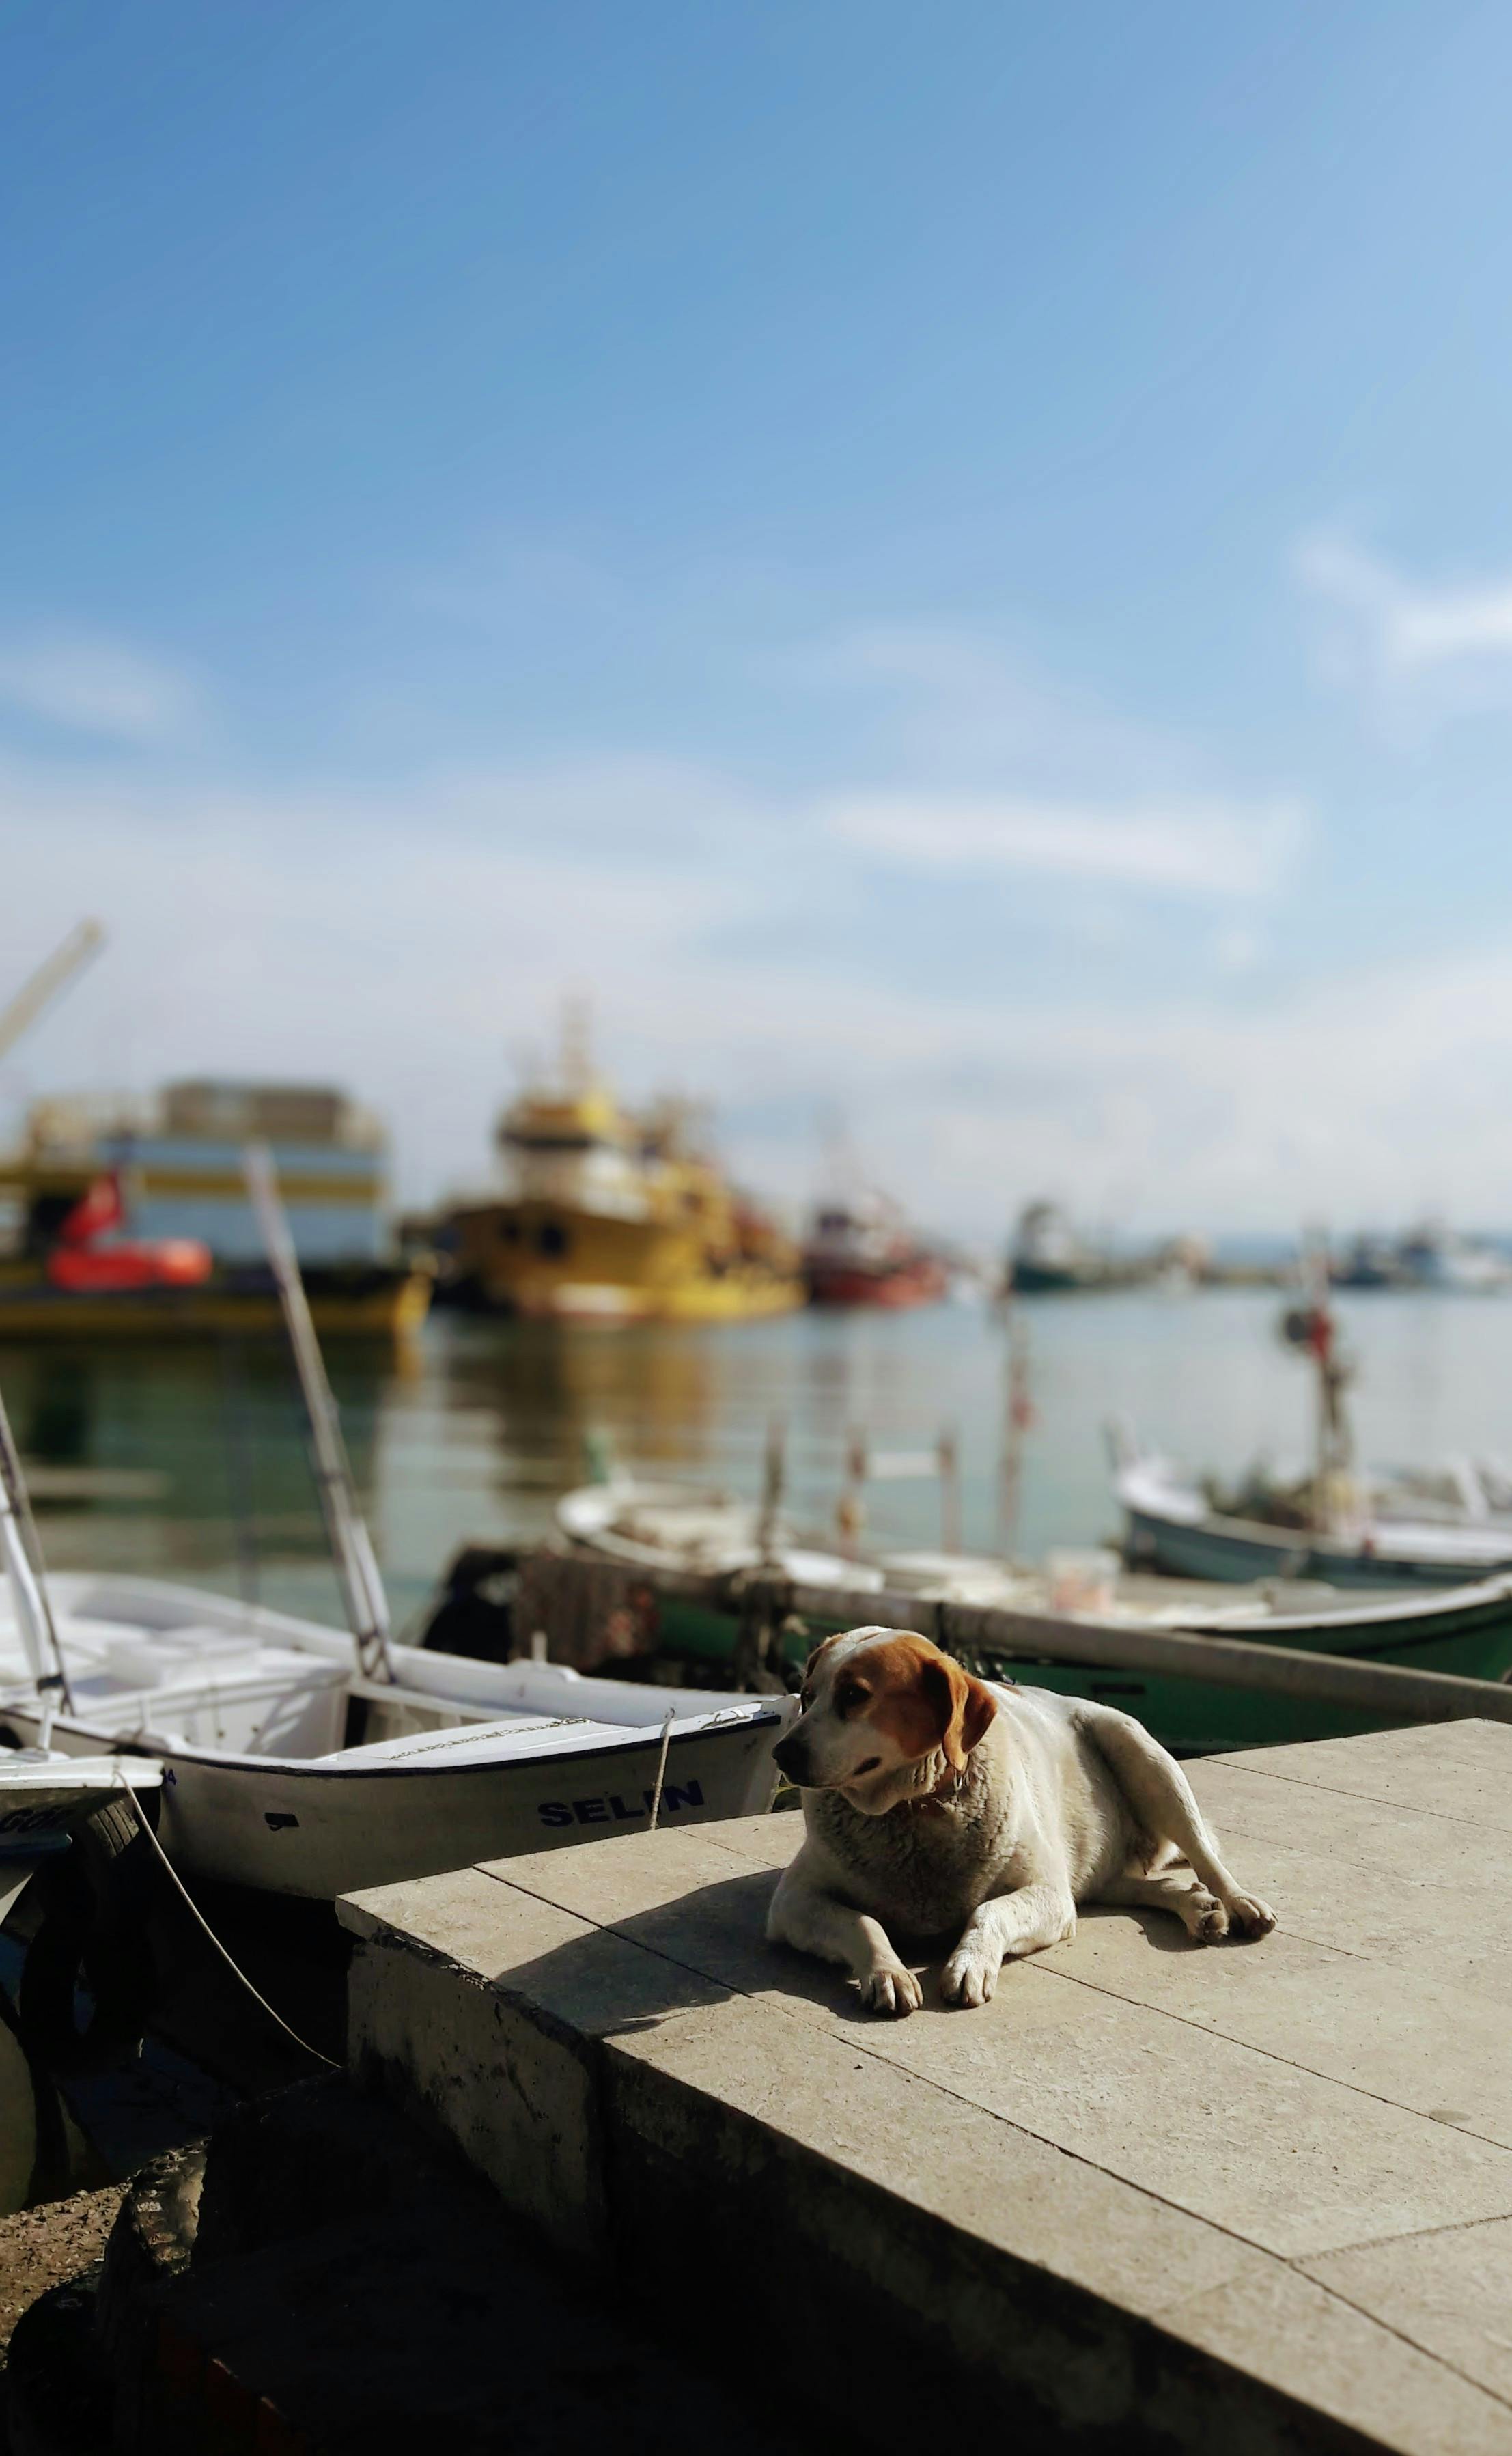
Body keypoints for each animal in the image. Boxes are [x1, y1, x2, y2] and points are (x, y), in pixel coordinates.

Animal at [766, 1621, 1276, 2004]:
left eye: (854, 1695)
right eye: (806, 1696)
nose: (781, 1753)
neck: (914, 1810)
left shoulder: (1048, 1894)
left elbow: (989, 1911)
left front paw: (970, 1962)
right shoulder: (793, 1902)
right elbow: (864, 1922)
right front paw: (887, 1971)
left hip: (1141, 1753)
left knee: (1204, 1855)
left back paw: (1237, 1902)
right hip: (1096, 1867)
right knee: (1146, 1884)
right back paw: (1197, 1906)